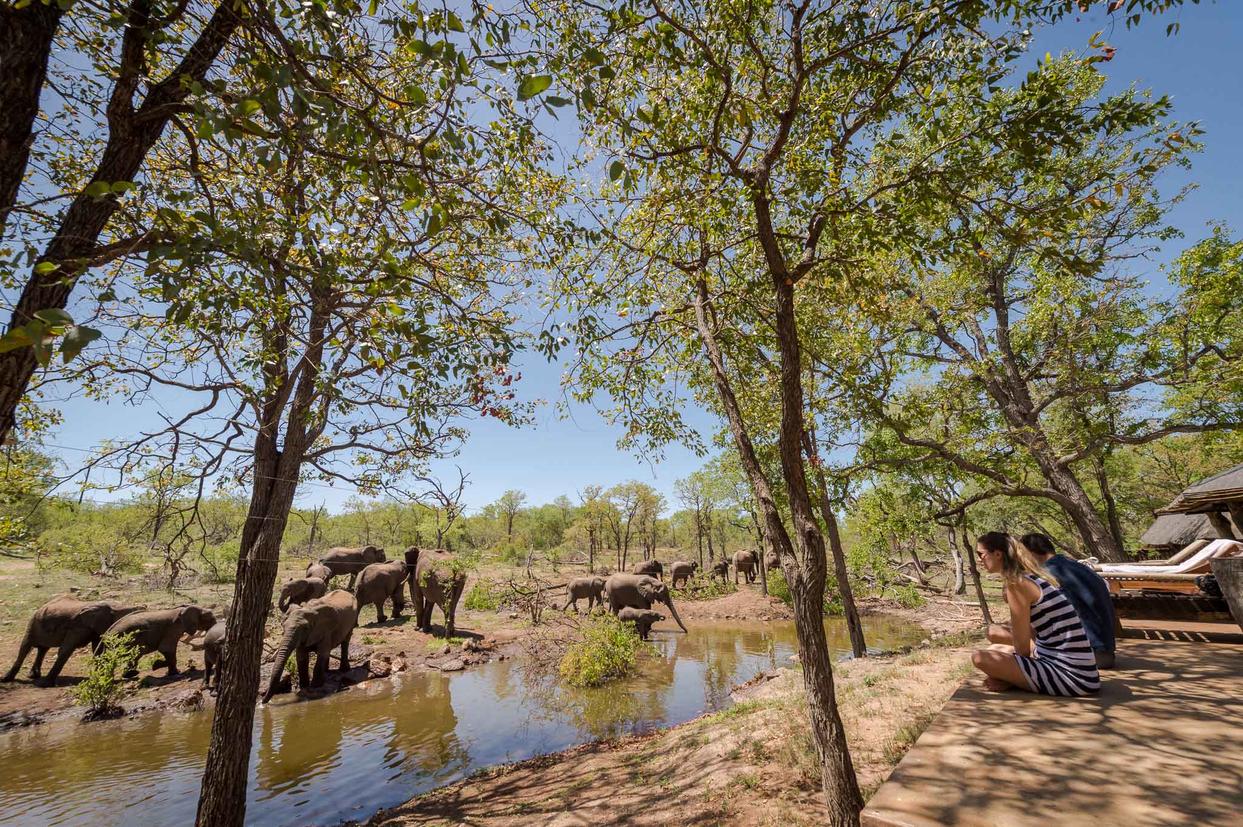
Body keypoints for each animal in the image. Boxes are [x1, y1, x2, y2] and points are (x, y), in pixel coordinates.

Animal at [3, 597, 143, 687]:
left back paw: (33, 676)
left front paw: (103, 677)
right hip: (33, 624)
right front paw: (45, 684)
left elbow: (98, 650)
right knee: (26, 647)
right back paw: (6, 679)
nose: (133, 674)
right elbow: (66, 650)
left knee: (43, 649)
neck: (114, 606)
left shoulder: (95, 628)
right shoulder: (77, 627)